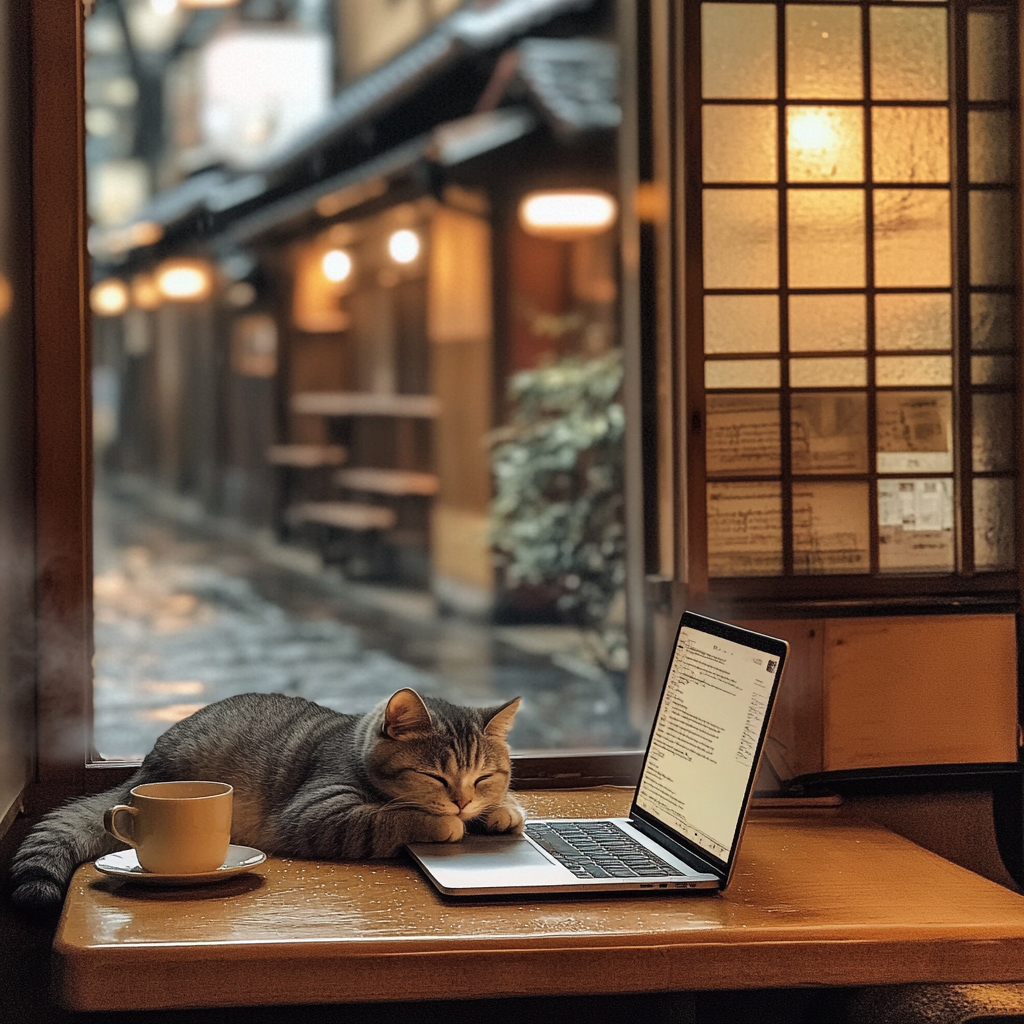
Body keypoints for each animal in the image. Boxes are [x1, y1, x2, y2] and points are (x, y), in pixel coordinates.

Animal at [6, 692, 520, 909]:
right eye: (434, 776)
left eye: (483, 777)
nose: (461, 802)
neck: (353, 747)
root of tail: (143, 772)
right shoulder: (318, 813)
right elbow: (389, 818)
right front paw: (442, 821)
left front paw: (501, 809)